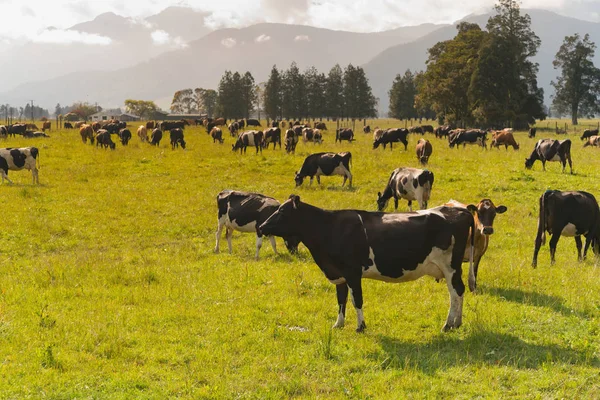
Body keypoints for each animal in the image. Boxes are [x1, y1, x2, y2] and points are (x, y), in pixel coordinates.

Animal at [260, 195, 476, 332]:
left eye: (282, 212)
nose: (261, 226)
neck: (329, 228)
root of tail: (459, 210)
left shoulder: (353, 272)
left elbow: (357, 299)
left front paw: (360, 327)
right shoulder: (339, 274)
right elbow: (341, 299)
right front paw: (338, 324)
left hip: (450, 266)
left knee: (456, 291)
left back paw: (448, 325)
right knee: (458, 291)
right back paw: (456, 323)